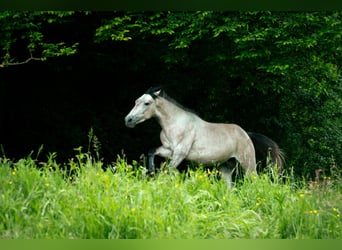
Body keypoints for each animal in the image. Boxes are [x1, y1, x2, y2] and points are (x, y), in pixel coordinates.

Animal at [124, 87, 284, 187]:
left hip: (248, 163)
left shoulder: (180, 153)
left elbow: (168, 170)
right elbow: (152, 151)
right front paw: (150, 172)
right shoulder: (168, 150)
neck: (174, 124)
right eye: (136, 101)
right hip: (226, 167)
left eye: (147, 103)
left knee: (255, 181)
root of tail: (247, 135)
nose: (128, 120)